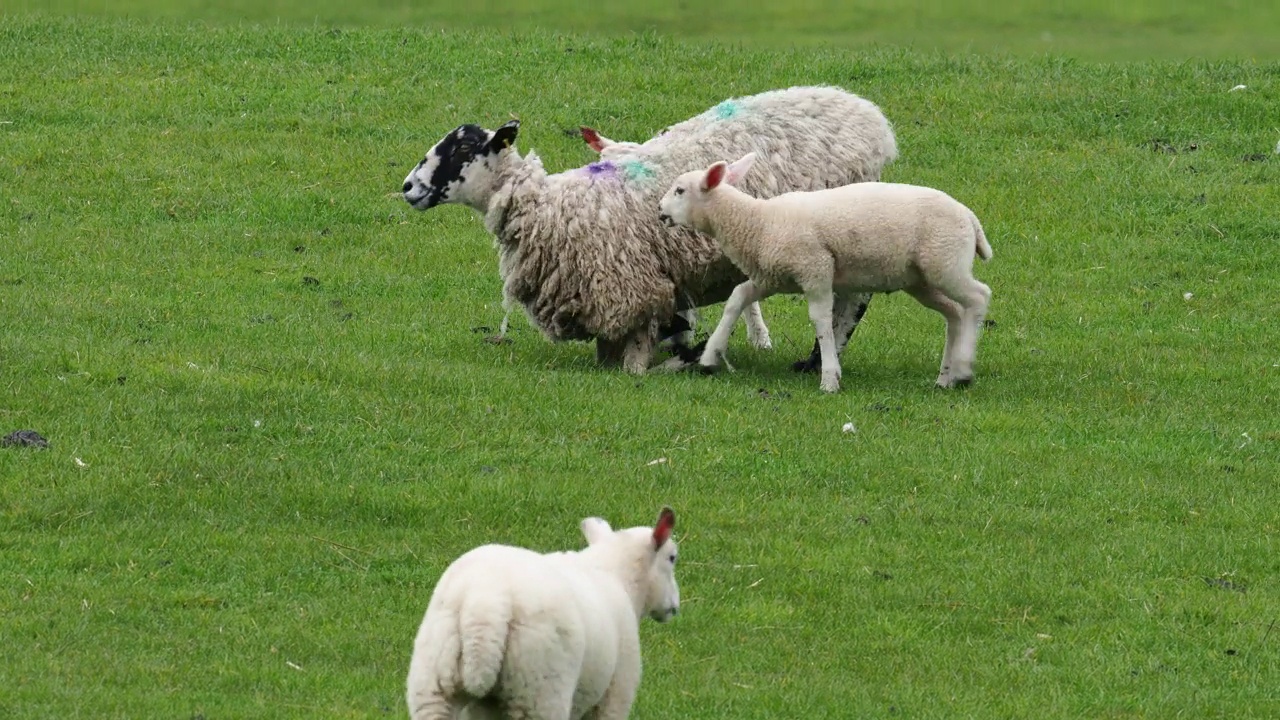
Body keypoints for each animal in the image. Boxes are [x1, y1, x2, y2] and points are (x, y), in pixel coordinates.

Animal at [401, 85, 901, 368]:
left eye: (460, 151)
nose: (408, 187)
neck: (551, 205)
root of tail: (872, 118)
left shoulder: (632, 284)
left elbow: (640, 344)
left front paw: (644, 367)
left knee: (851, 304)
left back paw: (818, 360)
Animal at [404, 507, 680, 712]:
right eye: (672, 558)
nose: (675, 607)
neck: (615, 573)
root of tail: (485, 605)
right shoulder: (616, 693)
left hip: (432, 682)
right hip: (540, 688)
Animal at [655, 151, 993, 392]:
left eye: (680, 190)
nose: (659, 211)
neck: (758, 222)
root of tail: (970, 218)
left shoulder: (815, 268)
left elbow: (820, 320)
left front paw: (830, 378)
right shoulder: (771, 277)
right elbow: (738, 297)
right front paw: (711, 355)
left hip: (945, 262)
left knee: (979, 297)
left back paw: (964, 368)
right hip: (922, 279)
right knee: (954, 313)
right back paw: (946, 377)